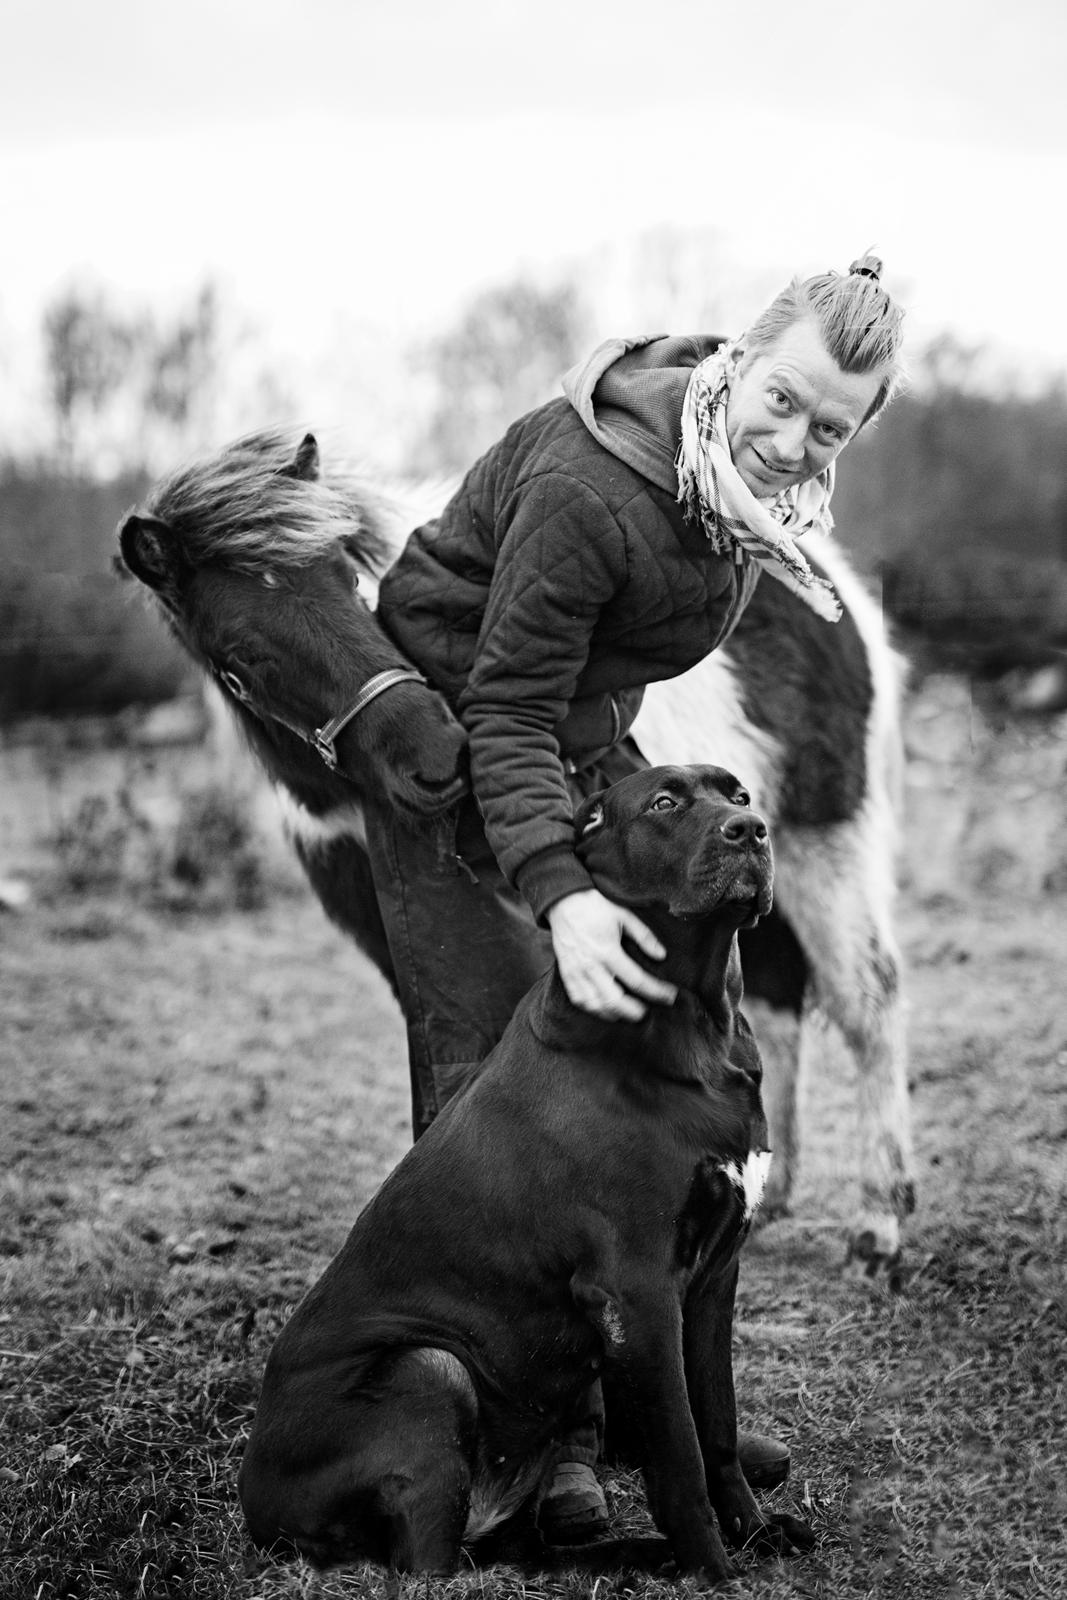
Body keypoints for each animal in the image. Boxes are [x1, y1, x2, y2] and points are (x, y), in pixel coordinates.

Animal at [119, 425, 921, 1273]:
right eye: (239, 656)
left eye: (348, 579)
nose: (435, 756)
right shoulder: (376, 910)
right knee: (773, 993)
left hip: (823, 840)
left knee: (867, 995)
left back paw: (878, 1222)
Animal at [238, 768, 812, 1580]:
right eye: (664, 804)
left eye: (736, 794)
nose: (752, 830)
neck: (696, 1022)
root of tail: (254, 1504)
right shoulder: (637, 1291)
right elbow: (679, 1457)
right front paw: (714, 1568)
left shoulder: (713, 1277)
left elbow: (718, 1431)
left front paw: (754, 1532)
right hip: (427, 1367)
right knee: (431, 1564)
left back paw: (633, 1554)